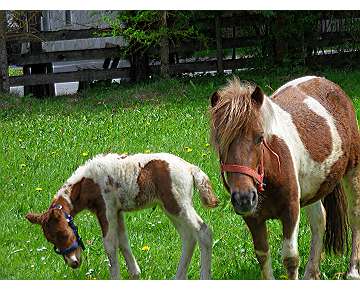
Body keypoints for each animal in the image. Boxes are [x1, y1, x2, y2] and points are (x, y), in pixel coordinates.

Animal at [25, 153, 218, 280]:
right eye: (51, 240)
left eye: (64, 233)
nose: (73, 262)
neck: (88, 183)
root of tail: (190, 168)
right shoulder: (118, 212)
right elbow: (123, 240)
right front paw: (135, 273)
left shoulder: (107, 209)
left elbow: (110, 244)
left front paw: (116, 278)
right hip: (171, 208)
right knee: (188, 237)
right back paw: (178, 277)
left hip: (178, 204)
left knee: (203, 231)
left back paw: (204, 277)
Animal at [210, 76, 360, 280]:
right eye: (220, 142)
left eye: (260, 138)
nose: (244, 198)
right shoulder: (253, 219)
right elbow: (263, 256)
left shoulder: (291, 211)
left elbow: (290, 258)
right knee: (319, 221)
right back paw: (311, 274)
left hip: (352, 172)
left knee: (354, 217)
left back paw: (352, 271)